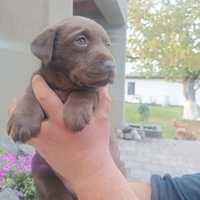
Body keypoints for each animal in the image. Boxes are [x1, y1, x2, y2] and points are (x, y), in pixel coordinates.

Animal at [7, 16, 124, 199]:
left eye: (107, 44)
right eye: (81, 40)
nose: (111, 66)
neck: (64, 85)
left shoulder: (95, 90)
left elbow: (86, 90)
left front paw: (75, 114)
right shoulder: (38, 79)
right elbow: (30, 93)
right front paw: (22, 122)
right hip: (39, 165)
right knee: (54, 190)